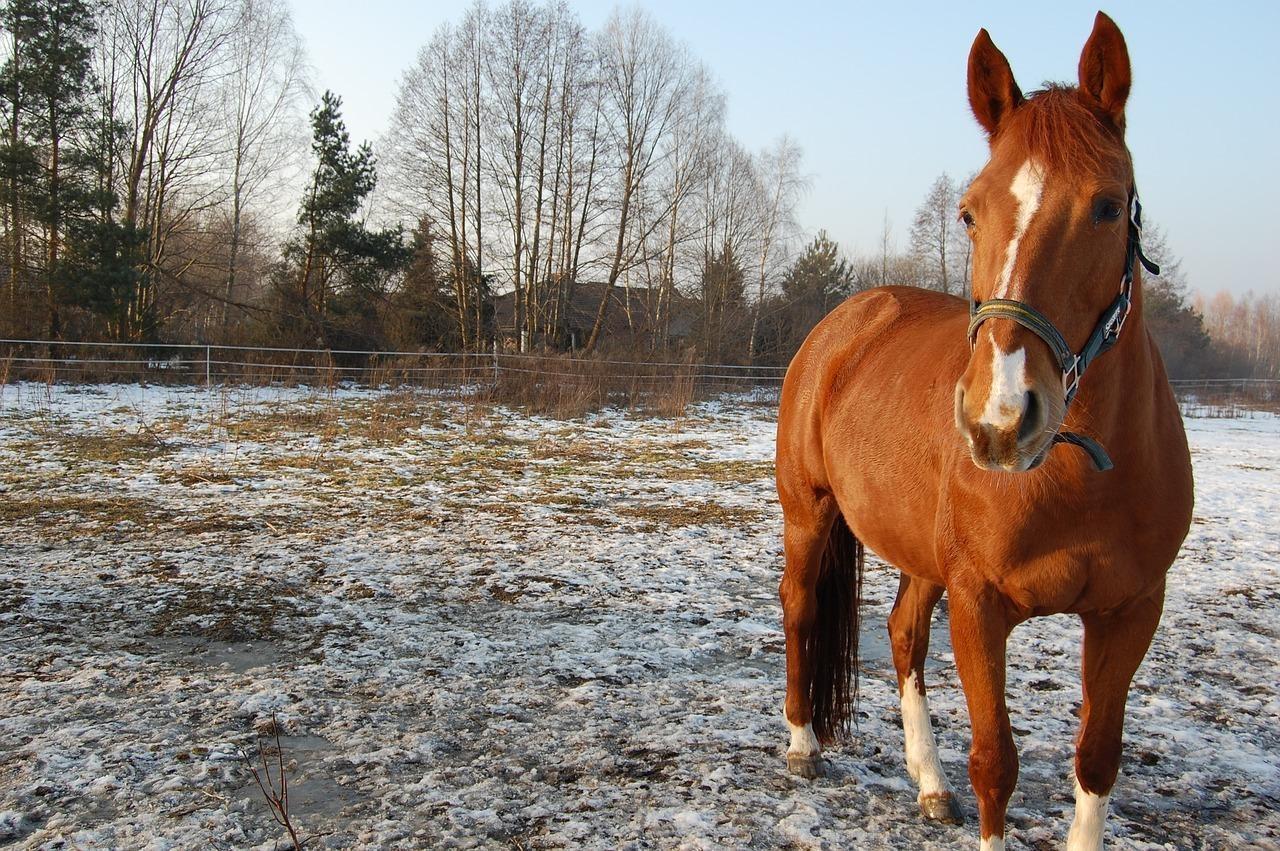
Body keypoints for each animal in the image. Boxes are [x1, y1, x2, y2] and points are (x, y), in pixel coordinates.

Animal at [775, 12, 1193, 851]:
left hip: (919, 554)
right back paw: (803, 743)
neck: (1079, 474)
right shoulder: (979, 603)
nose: (1001, 417)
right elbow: (996, 762)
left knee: (904, 634)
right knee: (800, 605)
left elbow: (1097, 758)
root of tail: (843, 323)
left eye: (1108, 206)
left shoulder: (1131, 610)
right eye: (970, 211)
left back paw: (929, 782)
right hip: (809, 515)